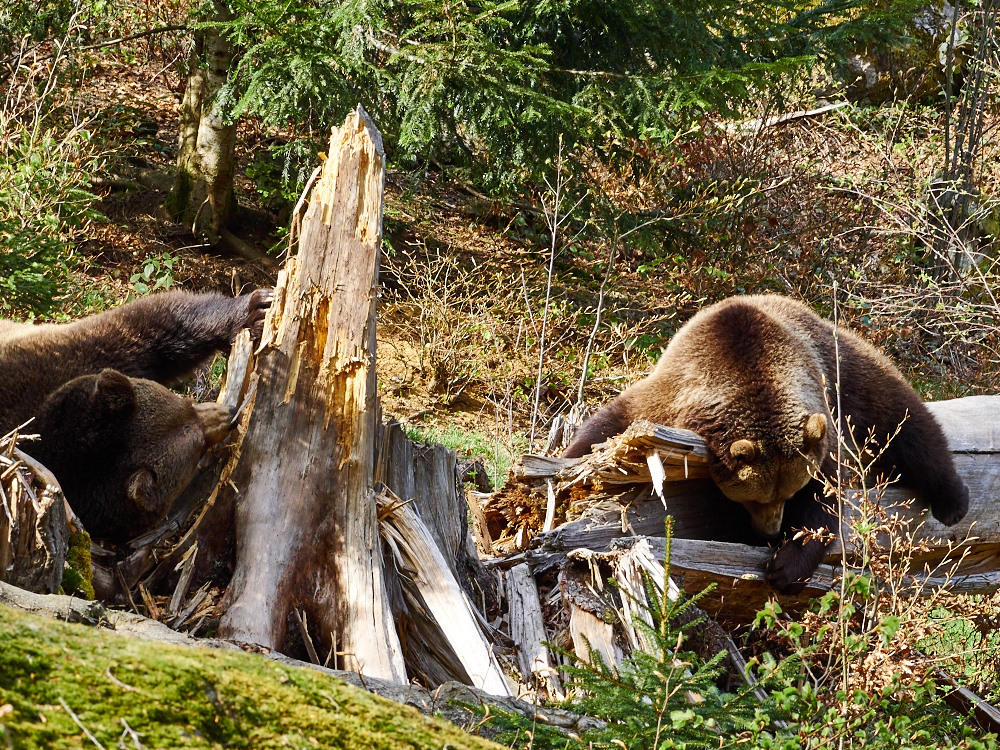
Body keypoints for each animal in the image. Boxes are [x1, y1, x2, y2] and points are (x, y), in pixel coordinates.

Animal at [0, 290, 272, 544]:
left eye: (186, 405)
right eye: (198, 446)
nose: (230, 415)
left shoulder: (74, 361)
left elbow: (155, 327)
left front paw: (256, 310)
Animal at [568, 296, 972, 596]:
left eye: (787, 493)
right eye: (751, 499)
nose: (771, 532)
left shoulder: (822, 423)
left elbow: (826, 498)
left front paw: (786, 566)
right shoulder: (668, 399)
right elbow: (608, 427)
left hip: (849, 368)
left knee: (905, 423)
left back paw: (952, 502)